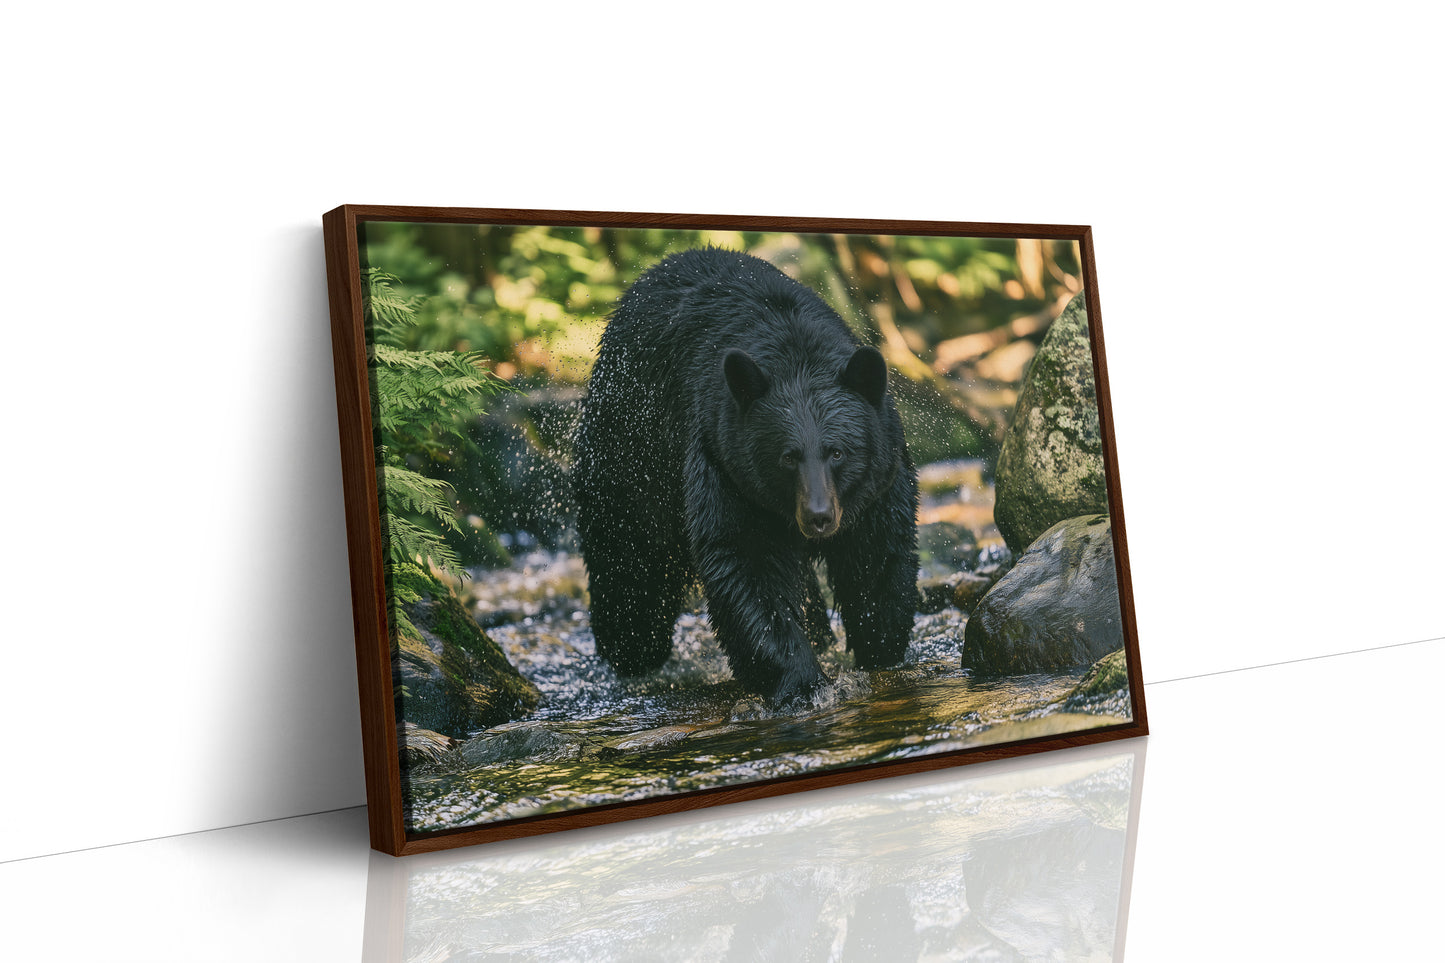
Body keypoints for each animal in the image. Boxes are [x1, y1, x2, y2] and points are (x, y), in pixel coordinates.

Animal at [573, 248, 919, 703]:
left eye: (837, 452)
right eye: (788, 457)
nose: (819, 517)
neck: (795, 351)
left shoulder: (879, 476)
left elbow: (877, 552)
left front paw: (881, 647)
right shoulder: (725, 461)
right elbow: (745, 559)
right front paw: (801, 680)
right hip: (631, 446)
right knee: (628, 553)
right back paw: (632, 652)